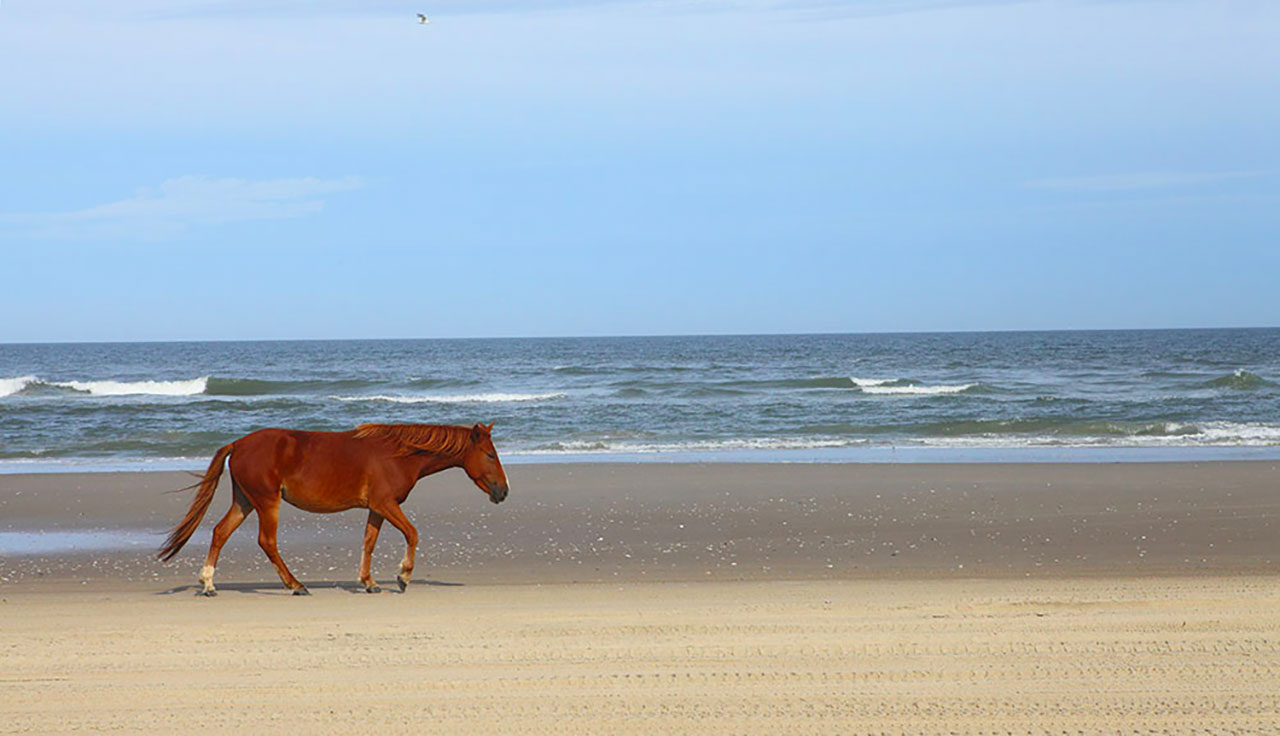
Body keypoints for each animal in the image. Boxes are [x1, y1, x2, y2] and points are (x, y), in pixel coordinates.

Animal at [158, 422, 509, 596]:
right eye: (490, 455)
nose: (503, 491)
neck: (398, 454)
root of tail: (239, 444)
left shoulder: (377, 508)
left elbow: (369, 542)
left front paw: (369, 582)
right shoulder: (386, 504)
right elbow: (412, 534)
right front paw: (402, 577)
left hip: (244, 501)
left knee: (219, 533)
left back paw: (208, 584)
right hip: (266, 502)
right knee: (267, 542)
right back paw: (296, 586)